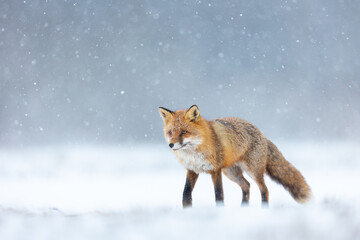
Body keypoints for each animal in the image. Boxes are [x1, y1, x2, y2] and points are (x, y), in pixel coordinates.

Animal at [159, 104, 310, 207]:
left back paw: (264, 209)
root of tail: (262, 133)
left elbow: (219, 194)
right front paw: (187, 210)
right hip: (232, 173)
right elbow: (186, 194)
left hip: (252, 171)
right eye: (171, 132)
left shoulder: (215, 170)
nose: (171, 145)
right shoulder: (192, 170)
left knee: (264, 190)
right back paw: (243, 208)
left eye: (184, 132)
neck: (194, 153)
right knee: (247, 186)